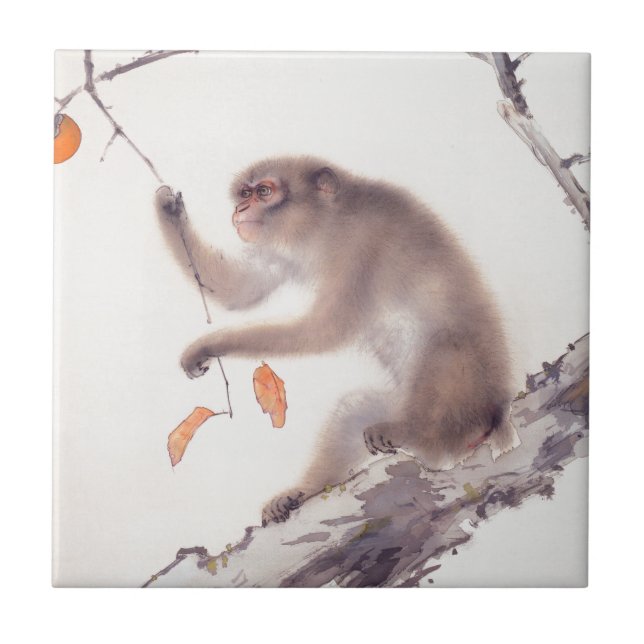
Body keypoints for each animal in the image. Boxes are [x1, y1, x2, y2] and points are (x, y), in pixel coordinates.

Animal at [155, 156, 518, 525]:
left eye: (263, 192)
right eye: (245, 193)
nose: (241, 209)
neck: (326, 225)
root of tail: (497, 414)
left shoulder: (360, 246)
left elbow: (325, 330)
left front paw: (210, 344)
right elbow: (240, 289)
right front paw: (169, 210)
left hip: (467, 400)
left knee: (444, 349)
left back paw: (417, 433)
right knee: (354, 410)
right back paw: (303, 493)